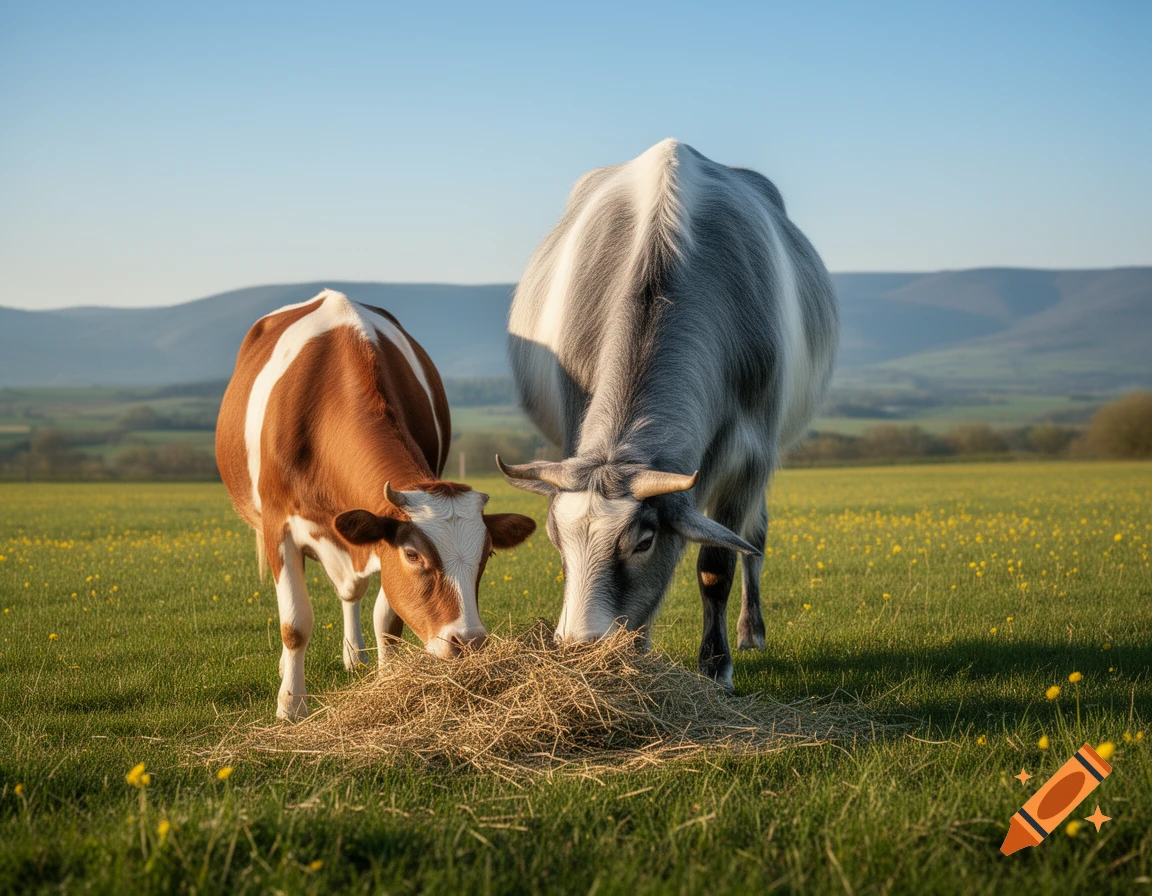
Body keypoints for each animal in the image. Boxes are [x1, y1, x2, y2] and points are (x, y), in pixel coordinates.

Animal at [217, 289, 536, 720]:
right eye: (413, 555)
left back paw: (355, 654)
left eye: (487, 554)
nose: (467, 641)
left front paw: (389, 683)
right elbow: (295, 623)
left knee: (350, 593)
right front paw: (291, 705)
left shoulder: (380, 542)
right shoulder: (278, 526)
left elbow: (387, 621)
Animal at [499, 139, 838, 690]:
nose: (580, 647)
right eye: (555, 539)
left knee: (756, 535)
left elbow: (718, 564)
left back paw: (751, 631)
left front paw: (717, 667)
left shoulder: (750, 455)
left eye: (642, 541)